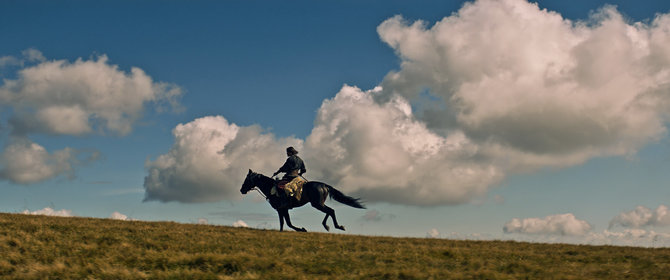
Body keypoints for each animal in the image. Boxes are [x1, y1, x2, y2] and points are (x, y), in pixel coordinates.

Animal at [240, 171, 368, 232]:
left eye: (247, 179)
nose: (241, 190)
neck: (271, 187)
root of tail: (324, 185)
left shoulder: (282, 209)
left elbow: (288, 223)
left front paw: (302, 229)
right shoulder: (281, 210)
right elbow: (283, 223)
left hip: (317, 204)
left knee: (330, 211)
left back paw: (336, 226)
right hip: (318, 204)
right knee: (330, 211)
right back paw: (329, 226)